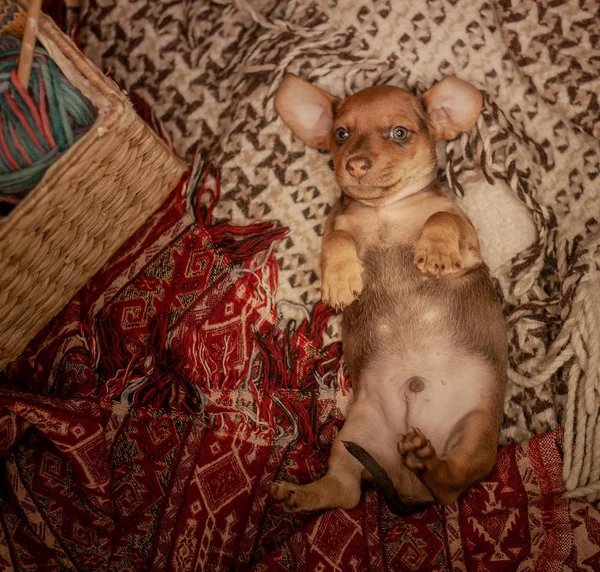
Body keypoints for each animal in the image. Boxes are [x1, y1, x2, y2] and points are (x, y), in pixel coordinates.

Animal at [268, 72, 506, 512]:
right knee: (344, 492)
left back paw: (427, 460)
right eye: (341, 134)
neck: (386, 208)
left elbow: (441, 216)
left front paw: (434, 250)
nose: (355, 165)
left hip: (478, 435)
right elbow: (338, 239)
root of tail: (411, 486)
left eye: (400, 133)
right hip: (350, 438)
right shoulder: (337, 228)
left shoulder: (469, 243)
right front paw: (340, 279)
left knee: (450, 484)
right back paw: (298, 493)